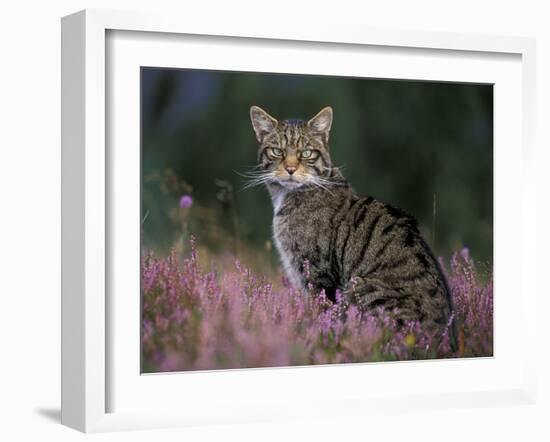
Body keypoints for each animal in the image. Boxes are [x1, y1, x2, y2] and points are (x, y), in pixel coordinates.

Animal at [249, 104, 458, 348]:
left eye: (306, 153)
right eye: (277, 151)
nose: (290, 168)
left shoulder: (319, 276)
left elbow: (321, 315)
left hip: (360, 286)